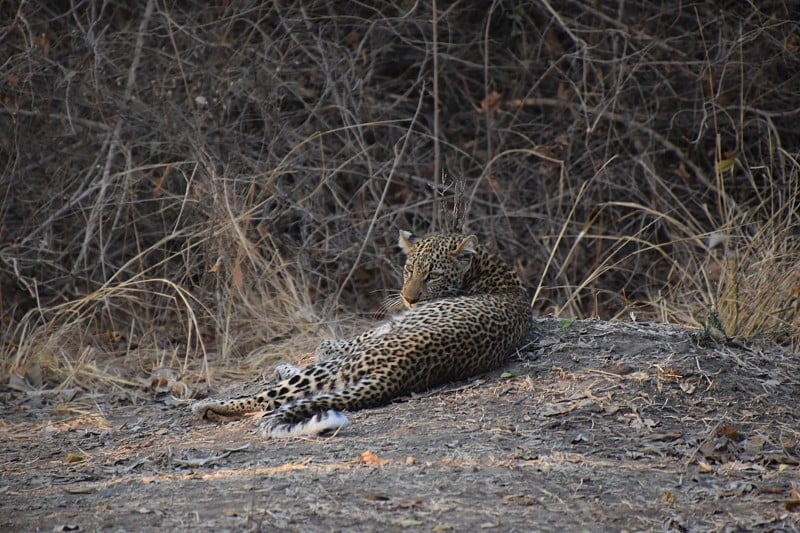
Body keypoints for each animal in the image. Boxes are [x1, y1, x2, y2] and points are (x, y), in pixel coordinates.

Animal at [192, 231, 532, 438]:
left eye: (432, 275)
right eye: (410, 270)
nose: (409, 298)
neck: (489, 269)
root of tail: (398, 373)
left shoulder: (378, 331)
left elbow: (340, 341)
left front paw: (324, 345)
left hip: (337, 367)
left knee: (268, 399)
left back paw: (208, 405)